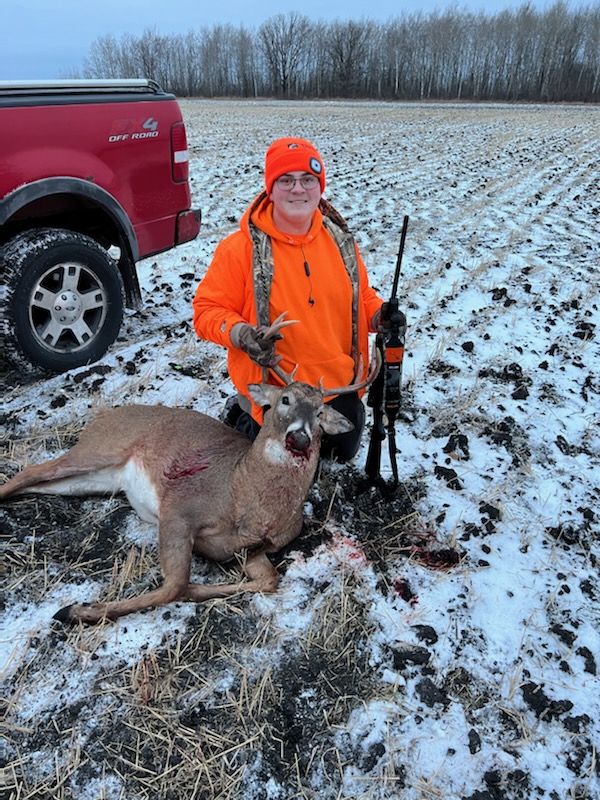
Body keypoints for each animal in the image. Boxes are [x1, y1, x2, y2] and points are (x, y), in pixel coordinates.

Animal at [2, 320, 380, 624]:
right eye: (284, 400)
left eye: (319, 413)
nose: (299, 437)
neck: (243, 495)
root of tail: (104, 416)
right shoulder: (180, 510)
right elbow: (174, 585)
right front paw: (76, 610)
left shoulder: (253, 551)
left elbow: (269, 581)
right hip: (99, 449)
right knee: (29, 470)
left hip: (98, 479)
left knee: (36, 481)